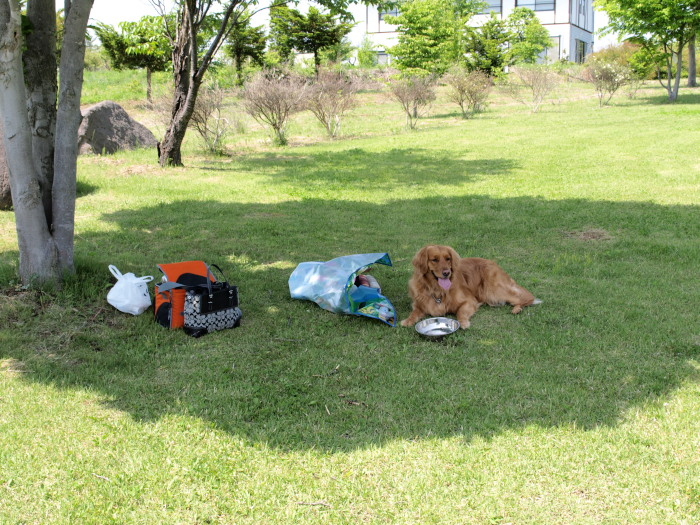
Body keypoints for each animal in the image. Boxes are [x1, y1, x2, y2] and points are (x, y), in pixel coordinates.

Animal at [402, 245, 540, 328]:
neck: (437, 290)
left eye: (448, 258)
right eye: (434, 260)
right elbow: (414, 313)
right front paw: (407, 321)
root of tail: (493, 263)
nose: (447, 273)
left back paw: (517, 308)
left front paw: (463, 322)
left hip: (493, 291)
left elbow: (460, 312)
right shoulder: (419, 304)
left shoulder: (469, 301)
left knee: (526, 298)